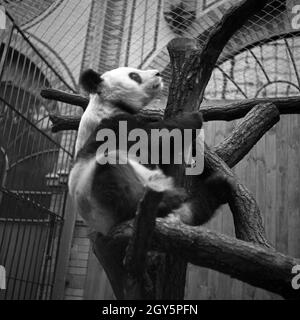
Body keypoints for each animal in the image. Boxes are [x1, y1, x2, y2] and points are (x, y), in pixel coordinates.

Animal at [69, 66, 231, 235]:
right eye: (134, 76)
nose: (158, 73)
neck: (107, 102)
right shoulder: (113, 124)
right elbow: (152, 138)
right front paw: (194, 117)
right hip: (97, 195)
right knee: (113, 174)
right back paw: (166, 201)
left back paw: (217, 189)